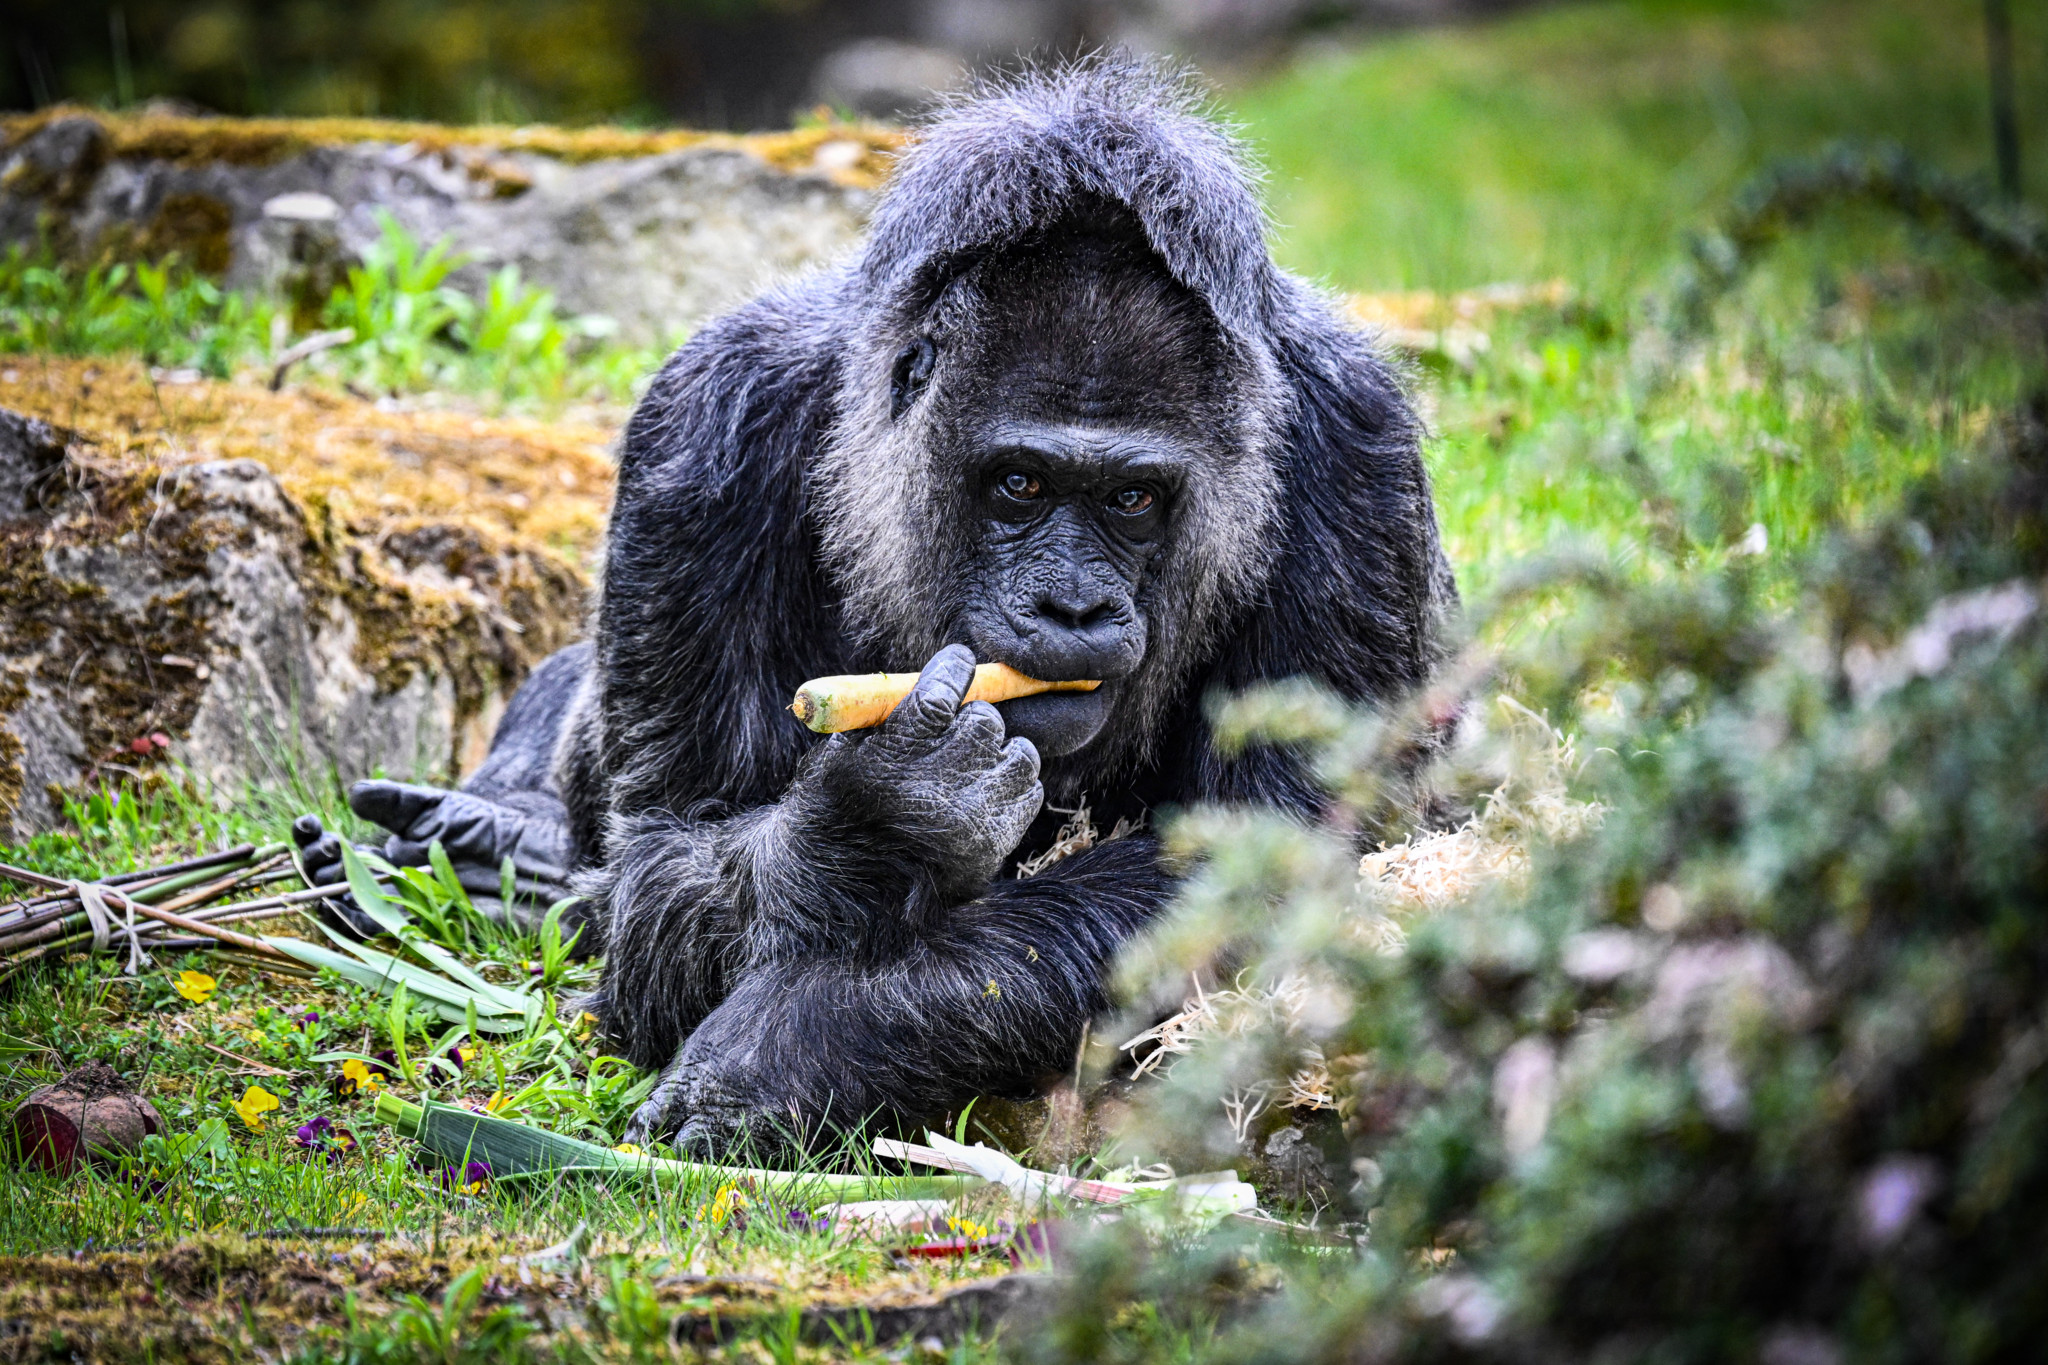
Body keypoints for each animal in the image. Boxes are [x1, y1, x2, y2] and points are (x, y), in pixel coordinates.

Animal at [295, 59, 1457, 1154]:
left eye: (1132, 498)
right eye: (1019, 484)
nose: (1073, 606)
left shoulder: (1357, 446)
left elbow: (1264, 852)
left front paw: (799, 1039)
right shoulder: (703, 424)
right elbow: (670, 850)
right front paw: (876, 824)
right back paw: (497, 840)